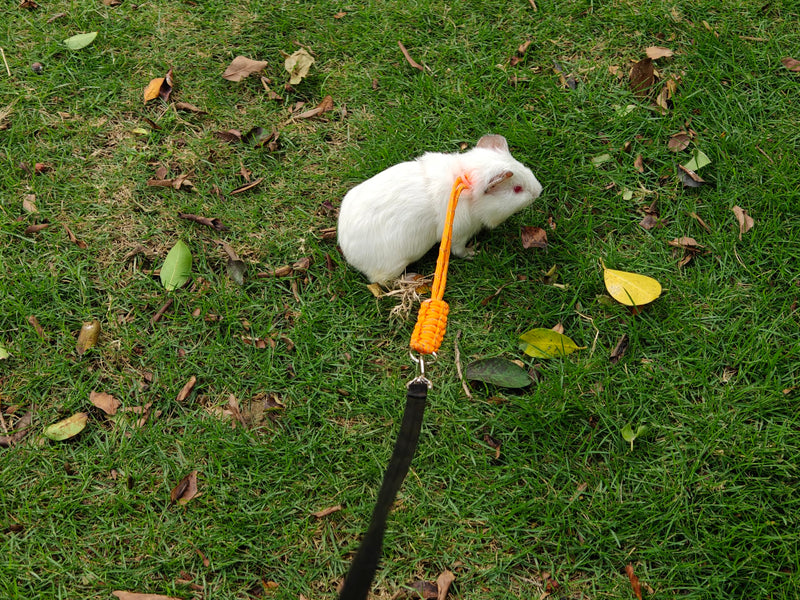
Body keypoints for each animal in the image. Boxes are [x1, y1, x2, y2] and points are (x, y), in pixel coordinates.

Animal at [337, 134, 543, 283]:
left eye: (524, 167)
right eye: (517, 189)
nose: (539, 190)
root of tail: (348, 253)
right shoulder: (459, 234)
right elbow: (459, 251)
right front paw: (474, 252)